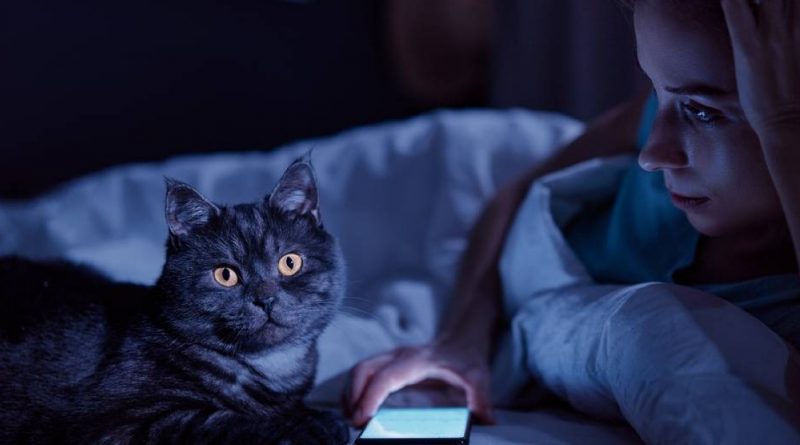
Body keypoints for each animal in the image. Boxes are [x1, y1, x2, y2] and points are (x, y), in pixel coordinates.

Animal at [0, 157, 350, 444]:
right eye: (225, 275)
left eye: (290, 263)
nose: (265, 299)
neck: (271, 367)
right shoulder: (119, 427)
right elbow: (224, 420)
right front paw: (317, 424)